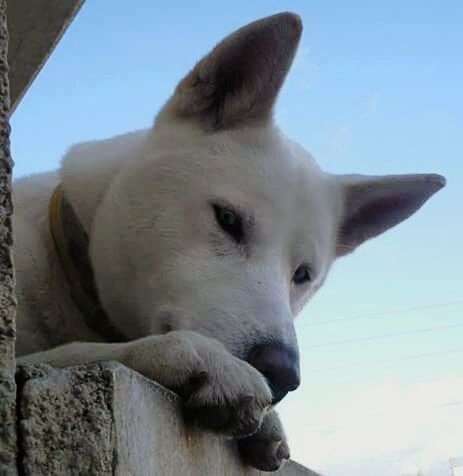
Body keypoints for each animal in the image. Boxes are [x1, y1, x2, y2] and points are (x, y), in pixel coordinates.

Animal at [14, 12, 448, 472]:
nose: (282, 373)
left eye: (303, 275)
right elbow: (74, 350)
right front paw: (198, 358)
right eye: (227, 220)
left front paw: (270, 417)